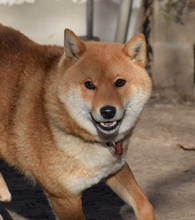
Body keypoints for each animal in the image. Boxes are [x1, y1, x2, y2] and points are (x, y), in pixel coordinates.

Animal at [0, 23, 155, 218]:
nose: (108, 112)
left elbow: (144, 204)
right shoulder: (64, 197)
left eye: (120, 82)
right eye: (89, 85)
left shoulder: (114, 169)